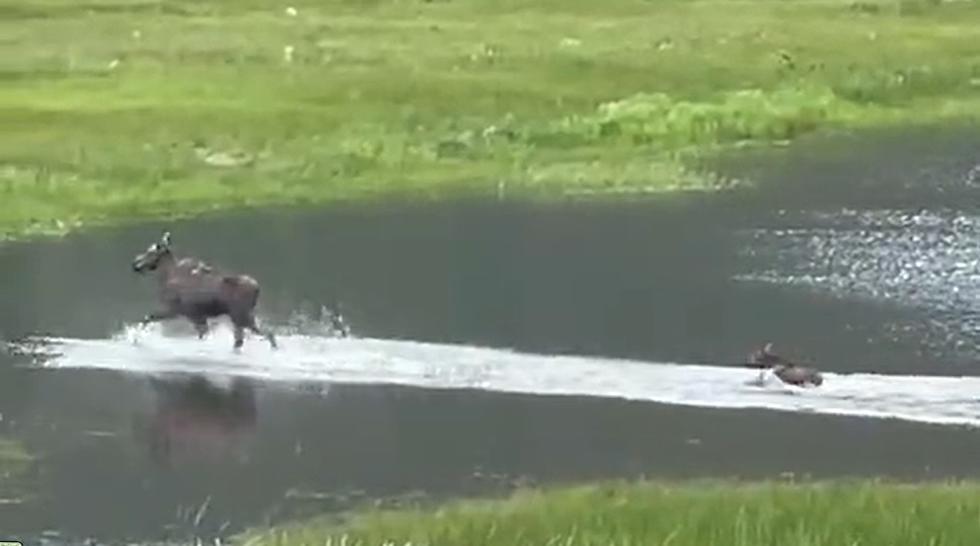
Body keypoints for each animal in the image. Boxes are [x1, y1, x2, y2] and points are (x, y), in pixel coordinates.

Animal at [129, 230, 276, 348]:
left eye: (150, 252)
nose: (135, 264)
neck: (166, 276)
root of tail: (257, 288)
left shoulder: (181, 312)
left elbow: (147, 318)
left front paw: (135, 339)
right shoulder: (196, 316)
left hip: (241, 316)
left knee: (266, 334)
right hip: (241, 317)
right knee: (245, 339)